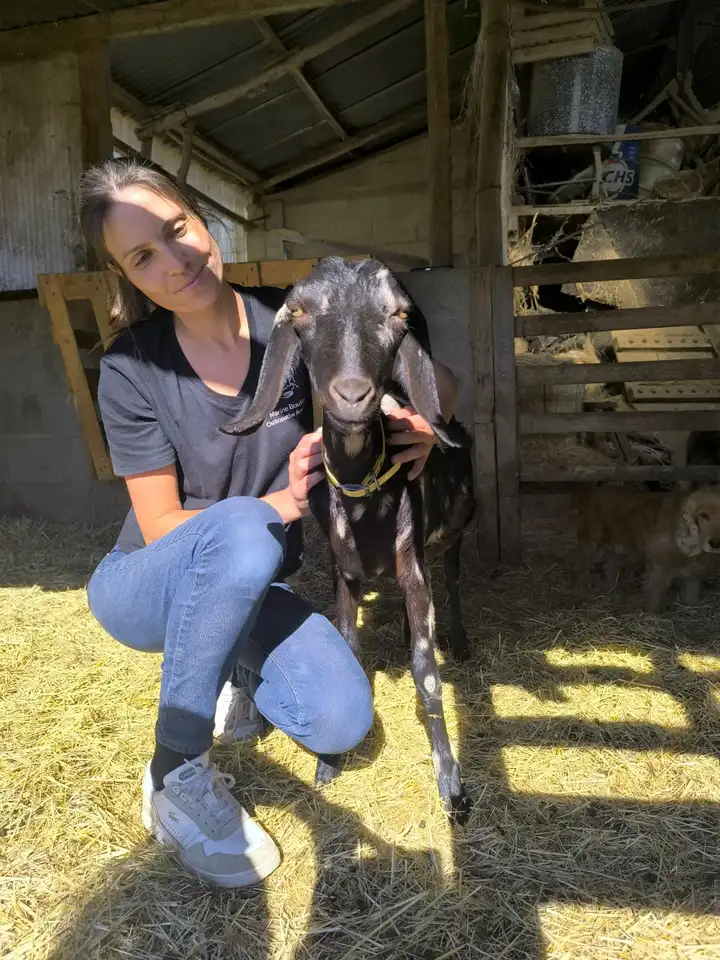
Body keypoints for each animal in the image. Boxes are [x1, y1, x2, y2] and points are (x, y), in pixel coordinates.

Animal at [220, 257, 475, 824]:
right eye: (298, 311)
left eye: (398, 314)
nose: (353, 395)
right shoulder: (346, 574)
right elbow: (351, 649)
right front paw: (330, 764)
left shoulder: (413, 565)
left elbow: (427, 676)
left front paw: (452, 785)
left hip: (454, 537)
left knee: (454, 584)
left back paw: (461, 641)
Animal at [573, 484, 720, 612]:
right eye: (704, 515)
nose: (715, 543)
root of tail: (596, 491)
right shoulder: (658, 572)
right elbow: (655, 600)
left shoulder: (692, 575)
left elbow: (691, 597)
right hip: (591, 544)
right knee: (582, 566)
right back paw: (581, 589)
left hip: (616, 549)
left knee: (610, 566)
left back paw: (611, 588)